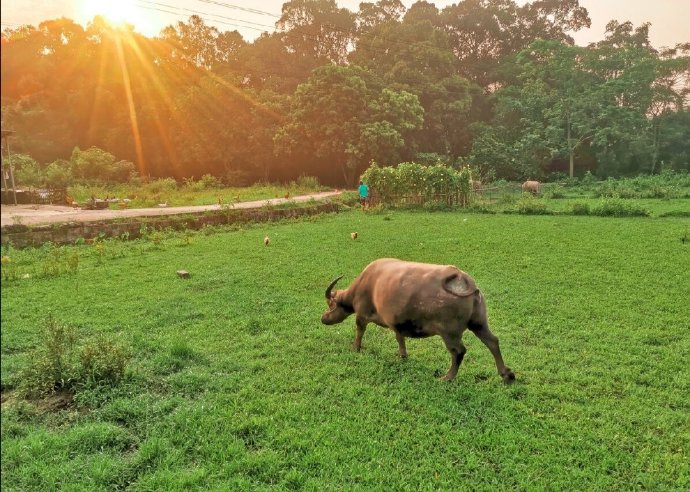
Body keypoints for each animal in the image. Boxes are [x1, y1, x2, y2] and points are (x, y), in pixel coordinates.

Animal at [320, 260, 512, 382]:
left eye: (330, 304)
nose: (323, 318)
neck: (364, 285)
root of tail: (462, 278)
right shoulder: (396, 323)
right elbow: (400, 338)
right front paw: (402, 356)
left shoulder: (361, 314)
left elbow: (360, 330)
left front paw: (356, 347)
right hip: (479, 323)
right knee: (492, 341)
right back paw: (506, 375)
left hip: (449, 333)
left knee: (458, 351)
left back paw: (447, 377)